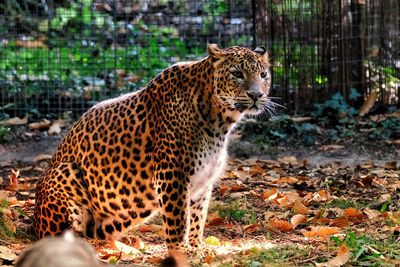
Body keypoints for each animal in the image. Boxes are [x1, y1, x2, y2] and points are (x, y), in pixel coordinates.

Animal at [33, 44, 272, 258]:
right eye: (237, 74)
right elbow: (178, 220)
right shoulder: (172, 176)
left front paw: (197, 247)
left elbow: (198, 217)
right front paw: (181, 251)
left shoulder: (204, 182)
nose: (256, 95)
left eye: (263, 74)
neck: (219, 121)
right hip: (64, 173)